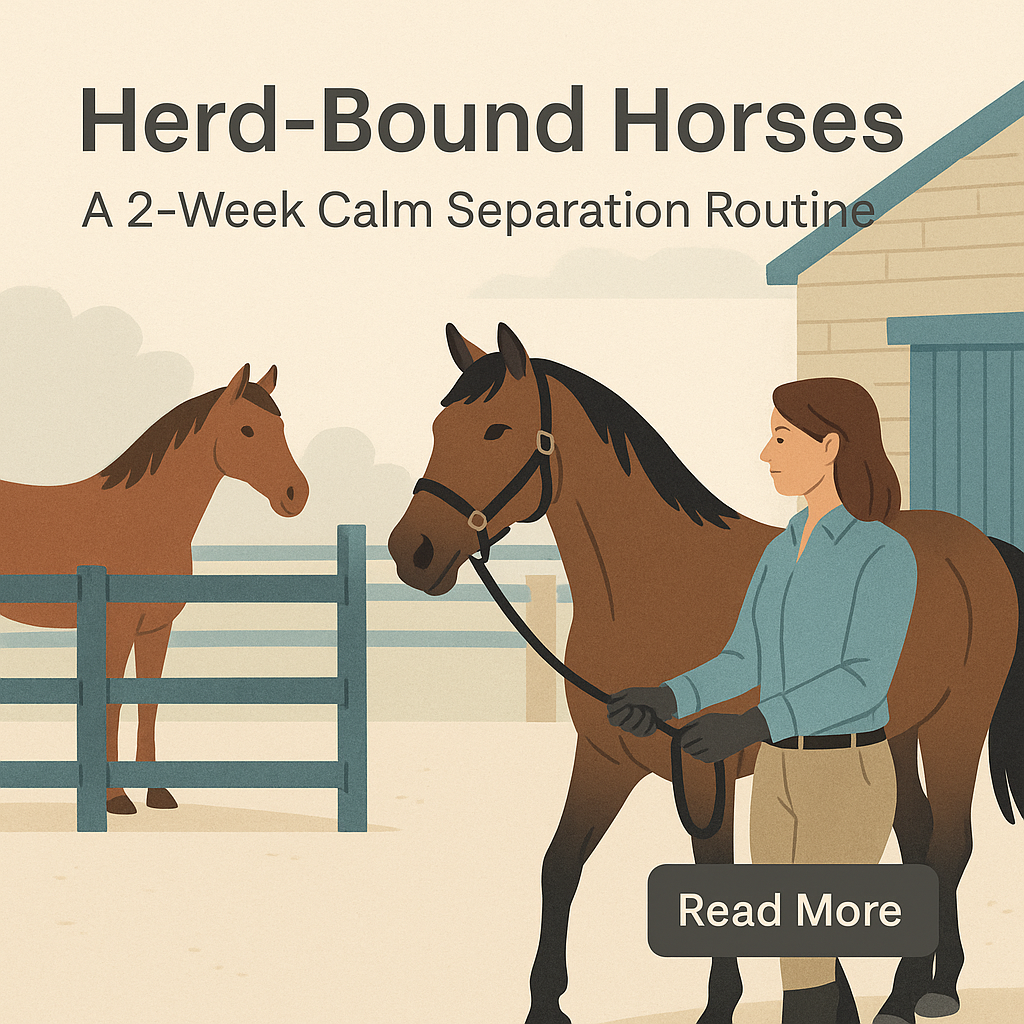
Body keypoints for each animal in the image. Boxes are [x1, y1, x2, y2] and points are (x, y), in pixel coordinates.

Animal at [0, 364, 309, 815]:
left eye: (282, 428)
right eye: (248, 429)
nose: (295, 495)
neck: (144, 518)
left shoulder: (156, 629)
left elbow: (149, 703)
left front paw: (156, 793)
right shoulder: (117, 628)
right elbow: (113, 700)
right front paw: (114, 798)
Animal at [388, 323, 1024, 1024]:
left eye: (496, 430)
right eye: (440, 426)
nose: (412, 551)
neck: (653, 585)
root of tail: (981, 544)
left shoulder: (703, 770)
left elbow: (717, 881)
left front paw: (723, 1005)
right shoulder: (606, 757)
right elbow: (561, 863)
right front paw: (545, 1004)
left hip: (955, 727)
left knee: (950, 844)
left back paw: (924, 990)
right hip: (900, 733)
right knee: (917, 838)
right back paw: (926, 985)